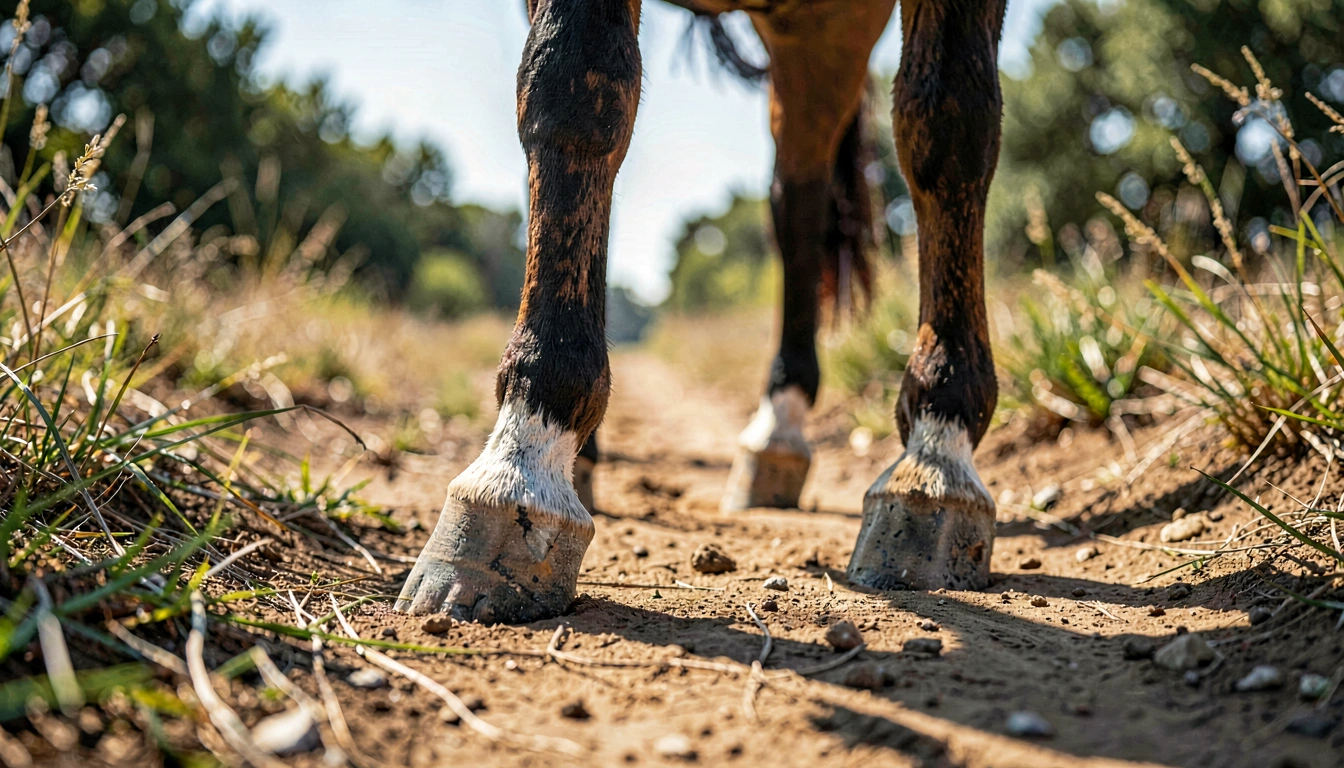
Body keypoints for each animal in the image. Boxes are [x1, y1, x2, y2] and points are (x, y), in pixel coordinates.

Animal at [396, 0, 1004, 623]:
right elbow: (571, 87)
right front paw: (522, 468)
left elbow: (951, 125)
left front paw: (938, 448)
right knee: (790, 198)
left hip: (830, 30)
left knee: (802, 197)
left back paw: (781, 431)